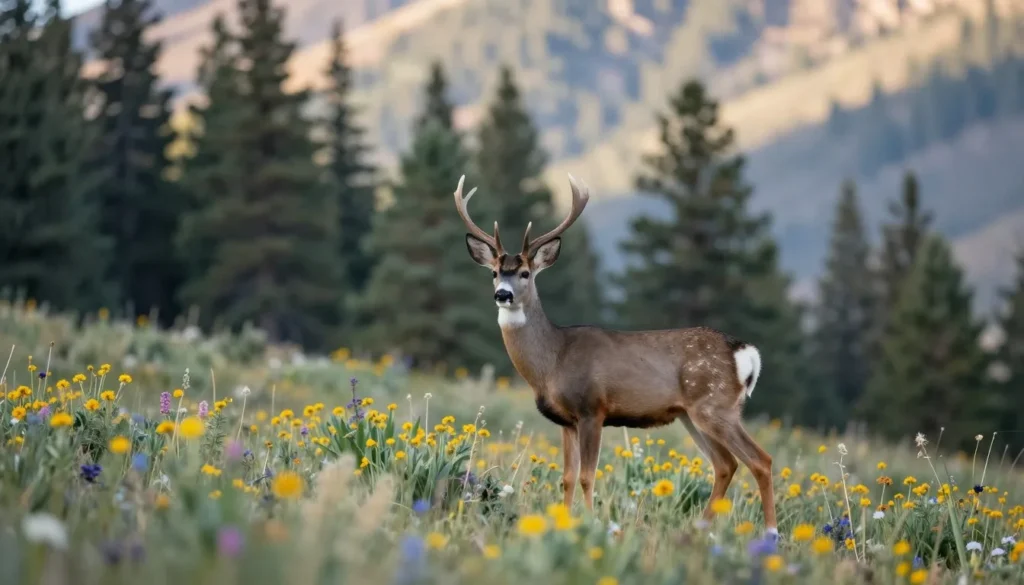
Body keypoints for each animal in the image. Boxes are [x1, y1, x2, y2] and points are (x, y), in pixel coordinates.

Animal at [454, 174, 778, 536]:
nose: (502, 294)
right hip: (692, 414)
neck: (552, 362)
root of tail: (745, 353)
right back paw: (698, 529)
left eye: (525, 273)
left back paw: (771, 533)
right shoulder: (565, 421)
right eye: (494, 272)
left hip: (716, 404)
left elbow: (586, 476)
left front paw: (591, 522)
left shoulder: (592, 409)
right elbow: (567, 478)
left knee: (760, 460)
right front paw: (566, 520)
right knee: (725, 465)